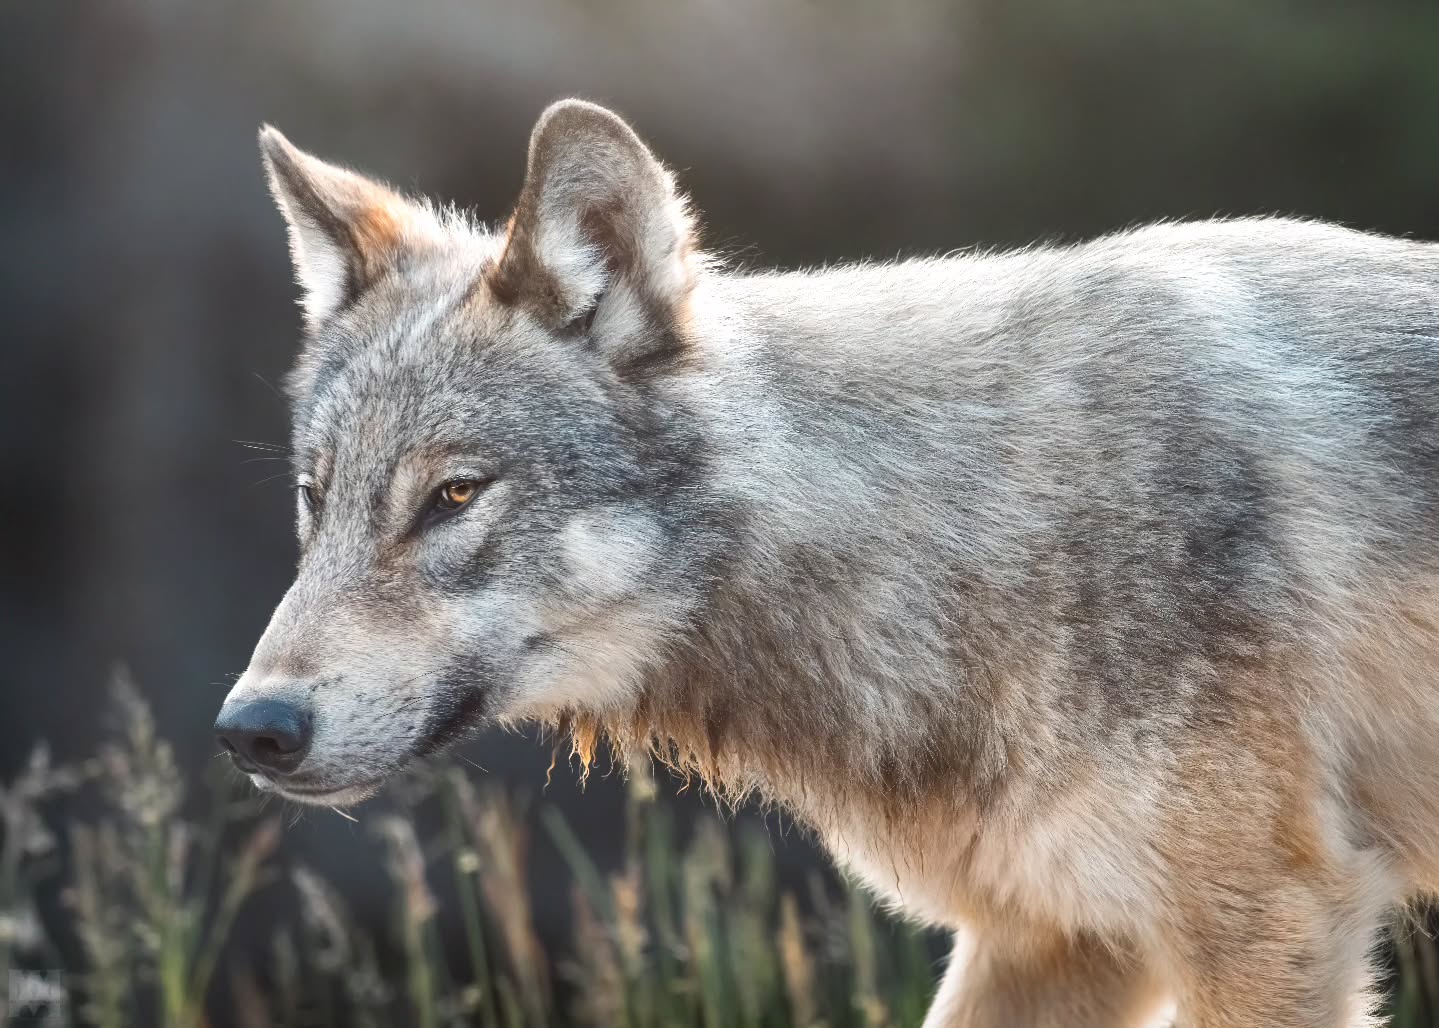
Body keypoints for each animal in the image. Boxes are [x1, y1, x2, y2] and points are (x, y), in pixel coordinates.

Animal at [216, 98, 1439, 1026]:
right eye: (316, 499)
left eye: (454, 496)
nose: (252, 729)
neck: (963, 529)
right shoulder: (1050, 935)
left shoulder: (1268, 923)